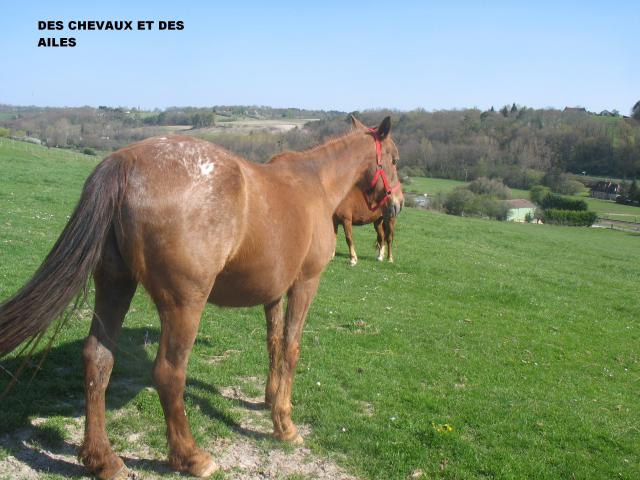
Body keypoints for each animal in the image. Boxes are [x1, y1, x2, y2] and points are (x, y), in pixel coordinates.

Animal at [0, 117, 400, 480]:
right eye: (395, 159)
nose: (396, 204)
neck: (314, 183)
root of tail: (127, 160)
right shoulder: (304, 283)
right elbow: (290, 348)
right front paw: (285, 425)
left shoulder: (273, 292)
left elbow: (273, 344)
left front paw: (270, 400)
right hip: (184, 305)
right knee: (168, 373)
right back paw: (191, 457)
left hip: (115, 286)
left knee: (98, 360)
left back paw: (103, 460)